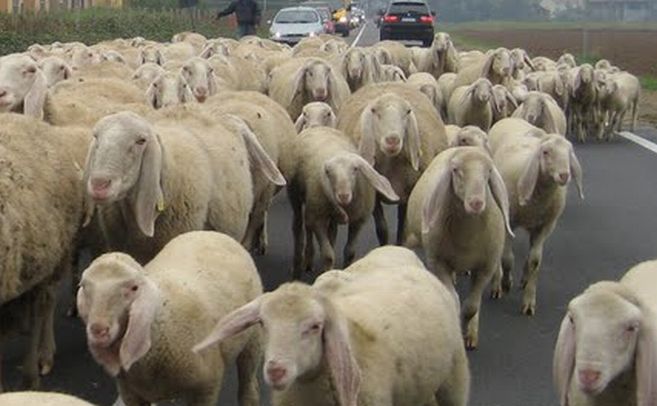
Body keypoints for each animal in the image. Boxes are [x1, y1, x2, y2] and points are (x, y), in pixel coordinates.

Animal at [78, 231, 262, 406]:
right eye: (83, 286)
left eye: (134, 287)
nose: (98, 330)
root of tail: (213, 233)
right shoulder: (129, 391)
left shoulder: (206, 388)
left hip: (252, 341)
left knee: (248, 387)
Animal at [287, 128, 399, 277]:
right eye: (328, 172)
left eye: (355, 169)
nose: (343, 196)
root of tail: (316, 127)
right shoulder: (318, 219)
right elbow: (328, 255)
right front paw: (327, 273)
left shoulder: (358, 221)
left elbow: (350, 251)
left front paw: (346, 269)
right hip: (295, 195)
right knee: (300, 225)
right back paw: (299, 265)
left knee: (326, 229)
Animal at [336, 83, 446, 245]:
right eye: (374, 111)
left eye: (408, 111)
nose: (392, 140)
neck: (390, 163)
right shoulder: (373, 194)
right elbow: (382, 228)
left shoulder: (409, 190)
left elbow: (402, 226)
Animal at [404, 146, 512, 349]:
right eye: (455, 170)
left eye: (489, 172)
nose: (476, 203)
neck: (467, 237)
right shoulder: (439, 263)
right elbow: (452, 299)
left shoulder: (485, 267)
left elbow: (471, 307)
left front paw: (467, 328)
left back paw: (471, 334)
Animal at [488, 117, 584, 315]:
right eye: (546, 152)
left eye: (569, 153)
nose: (564, 175)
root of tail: (511, 118)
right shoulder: (509, 221)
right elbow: (507, 258)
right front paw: (505, 283)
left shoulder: (546, 225)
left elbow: (535, 261)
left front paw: (529, 302)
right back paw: (498, 283)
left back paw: (524, 279)